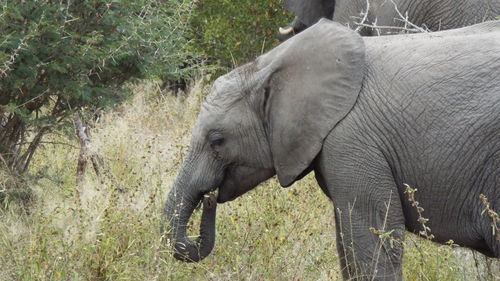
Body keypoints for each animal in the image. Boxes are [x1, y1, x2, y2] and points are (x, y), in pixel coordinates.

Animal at [164, 18, 500, 278]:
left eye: (217, 140)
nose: (209, 199)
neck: (268, 65)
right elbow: (347, 245)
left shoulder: (352, 142)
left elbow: (371, 241)